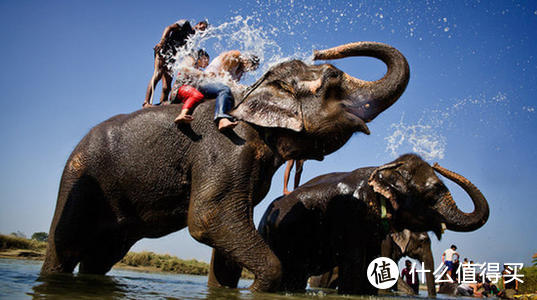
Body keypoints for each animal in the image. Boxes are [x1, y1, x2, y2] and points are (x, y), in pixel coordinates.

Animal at [42, 41, 410, 292]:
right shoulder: (228, 147)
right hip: (80, 175)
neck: (252, 96)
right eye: (333, 76)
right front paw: (261, 288)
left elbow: (229, 227)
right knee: (67, 245)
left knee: (102, 256)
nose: (321, 52)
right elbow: (210, 218)